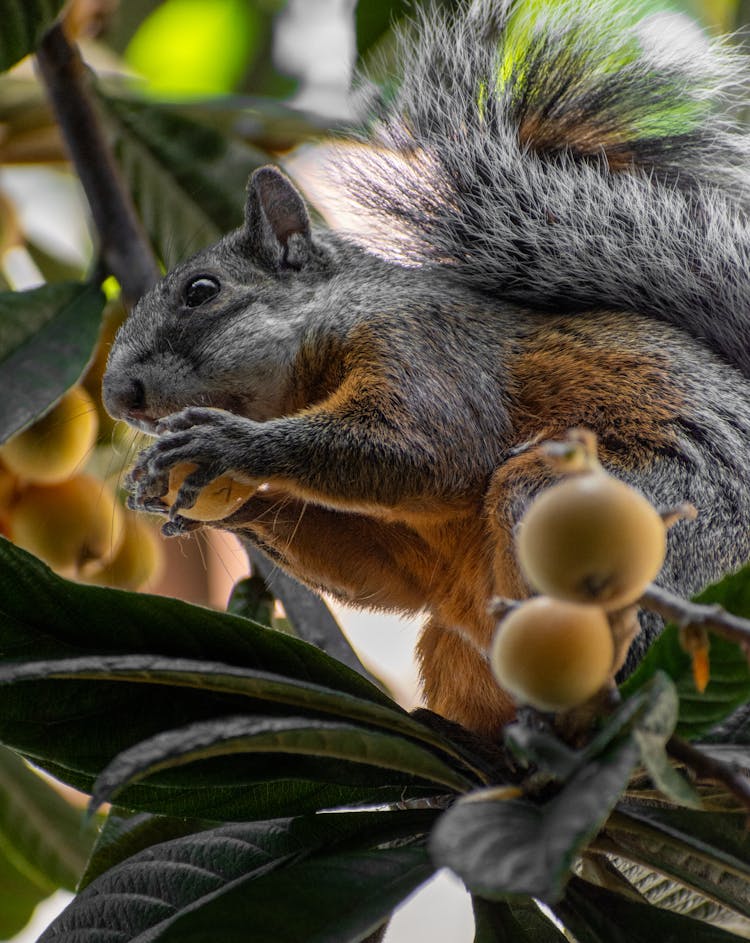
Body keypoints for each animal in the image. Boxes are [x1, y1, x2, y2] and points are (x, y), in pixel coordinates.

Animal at [103, 0, 750, 736]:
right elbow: (379, 569)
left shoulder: (426, 348)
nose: (118, 396)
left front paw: (228, 444)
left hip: (623, 511)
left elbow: (431, 449)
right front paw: (172, 493)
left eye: (202, 291)